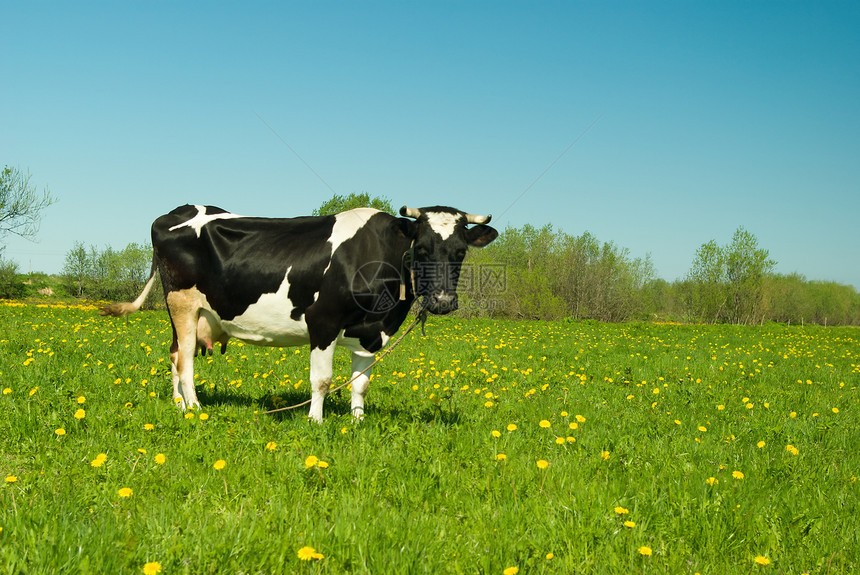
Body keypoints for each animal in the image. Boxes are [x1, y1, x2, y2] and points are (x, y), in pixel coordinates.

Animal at [102, 205, 498, 420]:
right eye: (423, 248)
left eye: (460, 251)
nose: (443, 301)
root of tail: (178, 211)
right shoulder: (323, 322)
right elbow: (321, 380)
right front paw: (315, 421)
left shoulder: (370, 332)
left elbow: (361, 383)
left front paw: (357, 422)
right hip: (182, 304)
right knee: (185, 359)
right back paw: (194, 407)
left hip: (191, 312)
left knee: (172, 354)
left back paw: (177, 404)